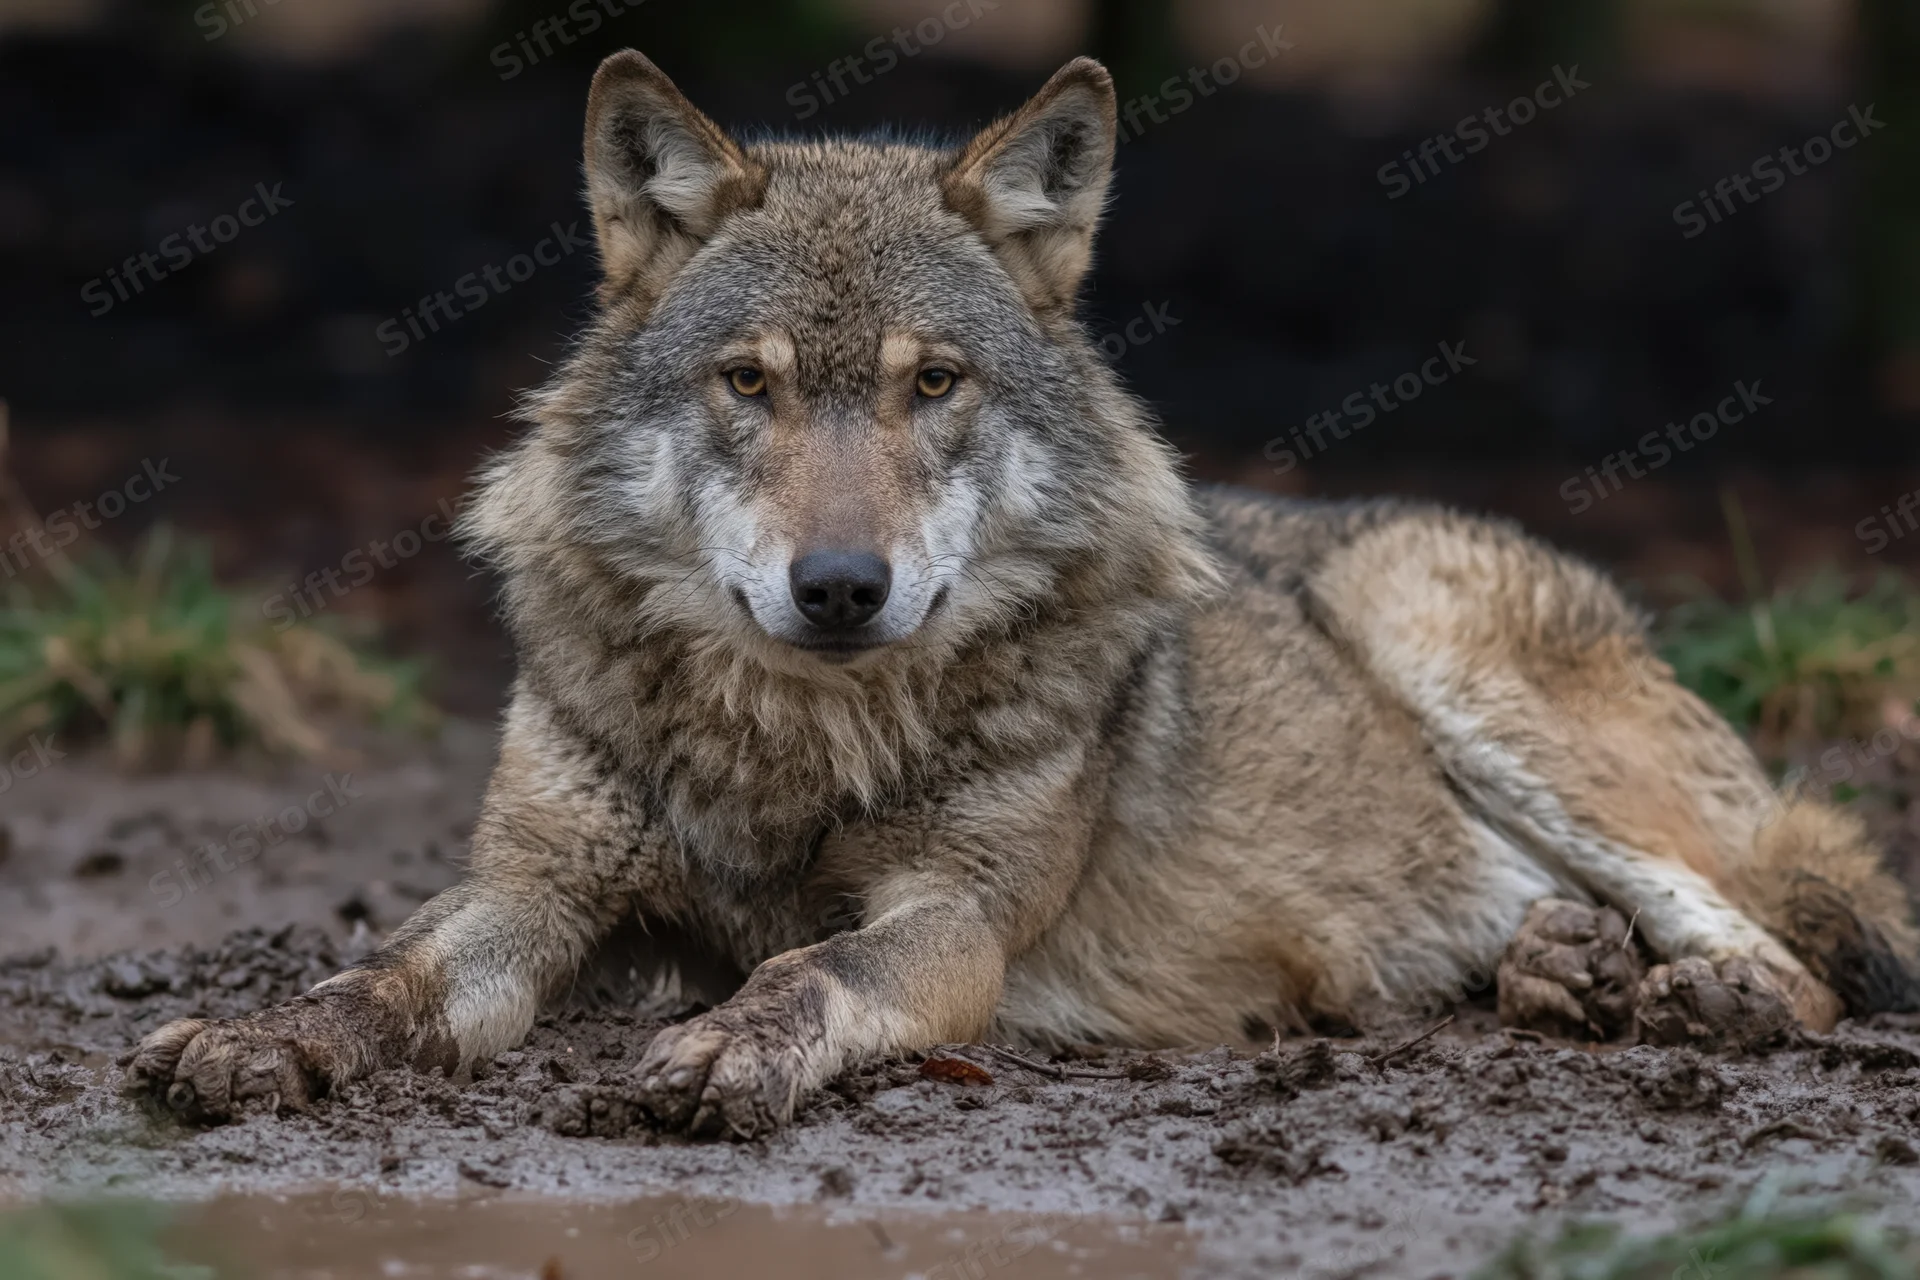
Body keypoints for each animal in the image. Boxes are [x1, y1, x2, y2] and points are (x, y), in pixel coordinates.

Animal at [128, 51, 1919, 1136]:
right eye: (749, 383)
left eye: (933, 383)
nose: (841, 586)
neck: (796, 741)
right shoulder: (535, 893)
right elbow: (389, 976)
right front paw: (266, 1034)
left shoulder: (958, 924)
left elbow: (814, 972)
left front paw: (728, 1044)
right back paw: (1569, 975)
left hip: (1458, 662)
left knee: (1799, 947)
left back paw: (1698, 1001)